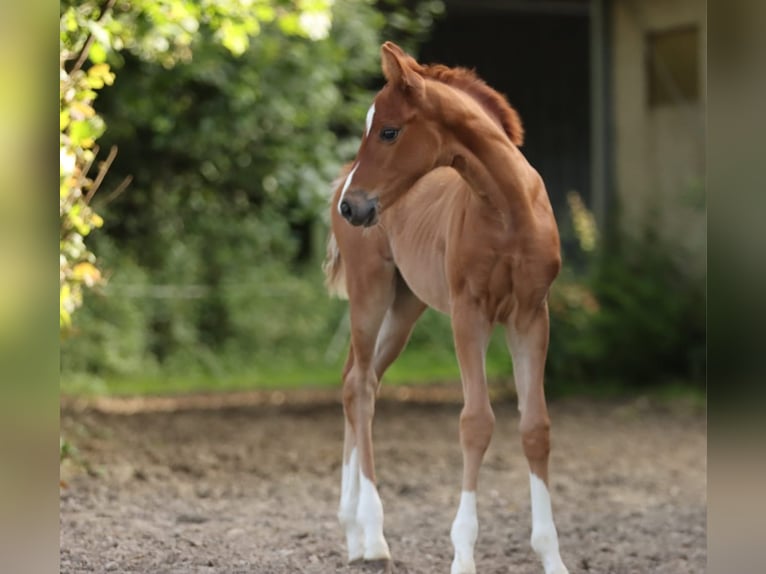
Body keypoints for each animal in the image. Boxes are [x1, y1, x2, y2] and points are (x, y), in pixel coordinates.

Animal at [324, 41, 568, 574]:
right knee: (360, 387)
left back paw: (352, 532)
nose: (352, 207)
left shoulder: (530, 315)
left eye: (389, 130)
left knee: (356, 380)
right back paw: (373, 535)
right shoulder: (468, 312)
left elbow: (535, 427)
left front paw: (552, 557)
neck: (509, 211)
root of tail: (337, 180)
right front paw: (463, 556)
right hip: (370, 292)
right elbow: (475, 423)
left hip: (404, 307)